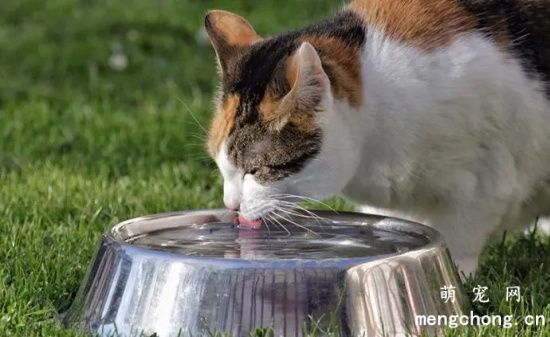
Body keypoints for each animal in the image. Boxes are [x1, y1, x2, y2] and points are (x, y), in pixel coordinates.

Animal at [204, 0, 550, 274]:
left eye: (256, 170)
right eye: (222, 167)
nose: (231, 205)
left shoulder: (483, 182)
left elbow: (458, 237)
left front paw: (456, 276)